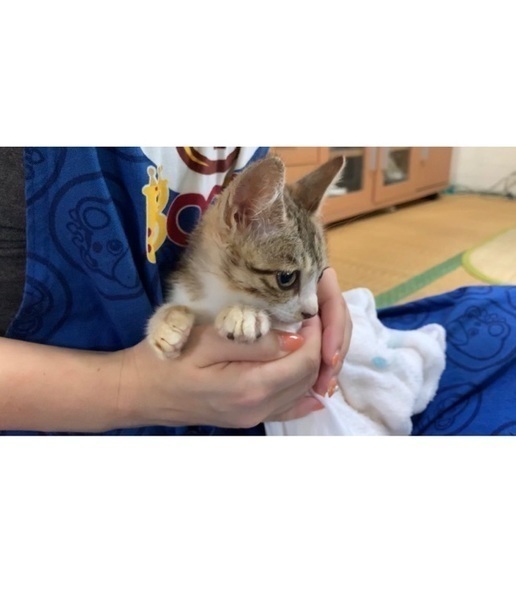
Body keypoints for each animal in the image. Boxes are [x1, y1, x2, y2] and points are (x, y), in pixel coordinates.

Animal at [147, 154, 345, 359]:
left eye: (320, 276)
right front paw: (166, 321)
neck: (221, 290)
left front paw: (244, 312)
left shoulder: (292, 327)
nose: (312, 313)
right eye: (286, 278)